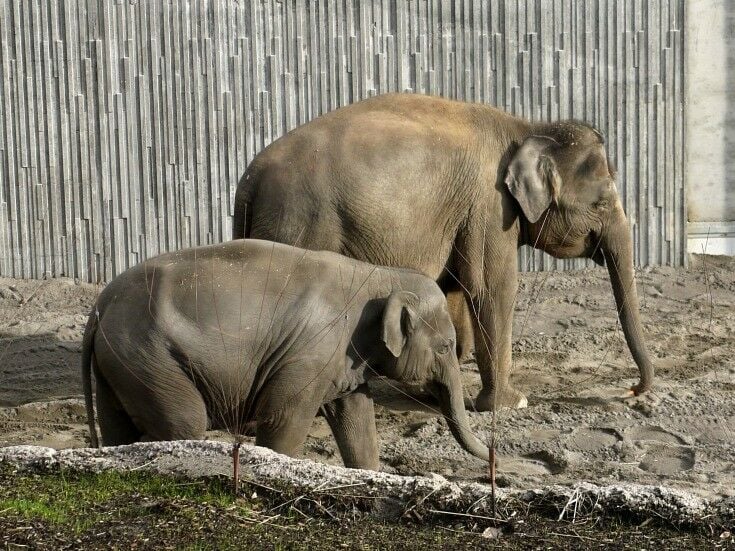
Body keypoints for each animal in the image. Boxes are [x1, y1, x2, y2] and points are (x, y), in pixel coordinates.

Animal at [82, 238, 488, 470]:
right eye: (446, 347)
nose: (493, 455)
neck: (378, 275)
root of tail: (100, 305)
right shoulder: (309, 353)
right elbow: (282, 423)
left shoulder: (341, 359)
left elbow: (356, 418)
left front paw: (367, 472)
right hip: (150, 360)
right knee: (182, 424)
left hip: (121, 364)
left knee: (118, 427)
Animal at [231, 94, 656, 410]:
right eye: (601, 203)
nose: (631, 392)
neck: (527, 128)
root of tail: (249, 182)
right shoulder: (489, 207)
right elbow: (492, 289)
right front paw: (511, 404)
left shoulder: (465, 215)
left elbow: (453, 288)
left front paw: (438, 385)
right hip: (302, 224)